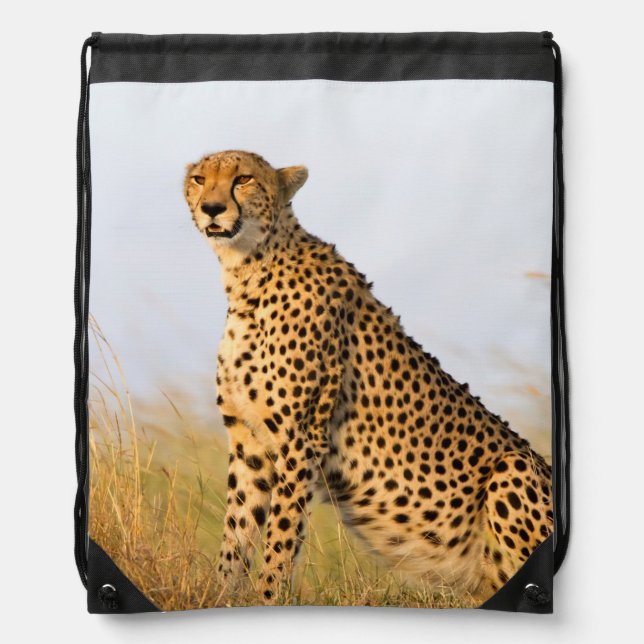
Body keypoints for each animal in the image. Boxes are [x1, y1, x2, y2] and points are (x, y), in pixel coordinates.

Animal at [183, 150, 553, 605]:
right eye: (200, 179)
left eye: (243, 179)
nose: (212, 208)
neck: (249, 271)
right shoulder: (249, 442)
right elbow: (237, 533)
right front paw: (218, 597)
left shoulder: (301, 438)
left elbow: (281, 539)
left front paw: (268, 599)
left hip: (512, 467)